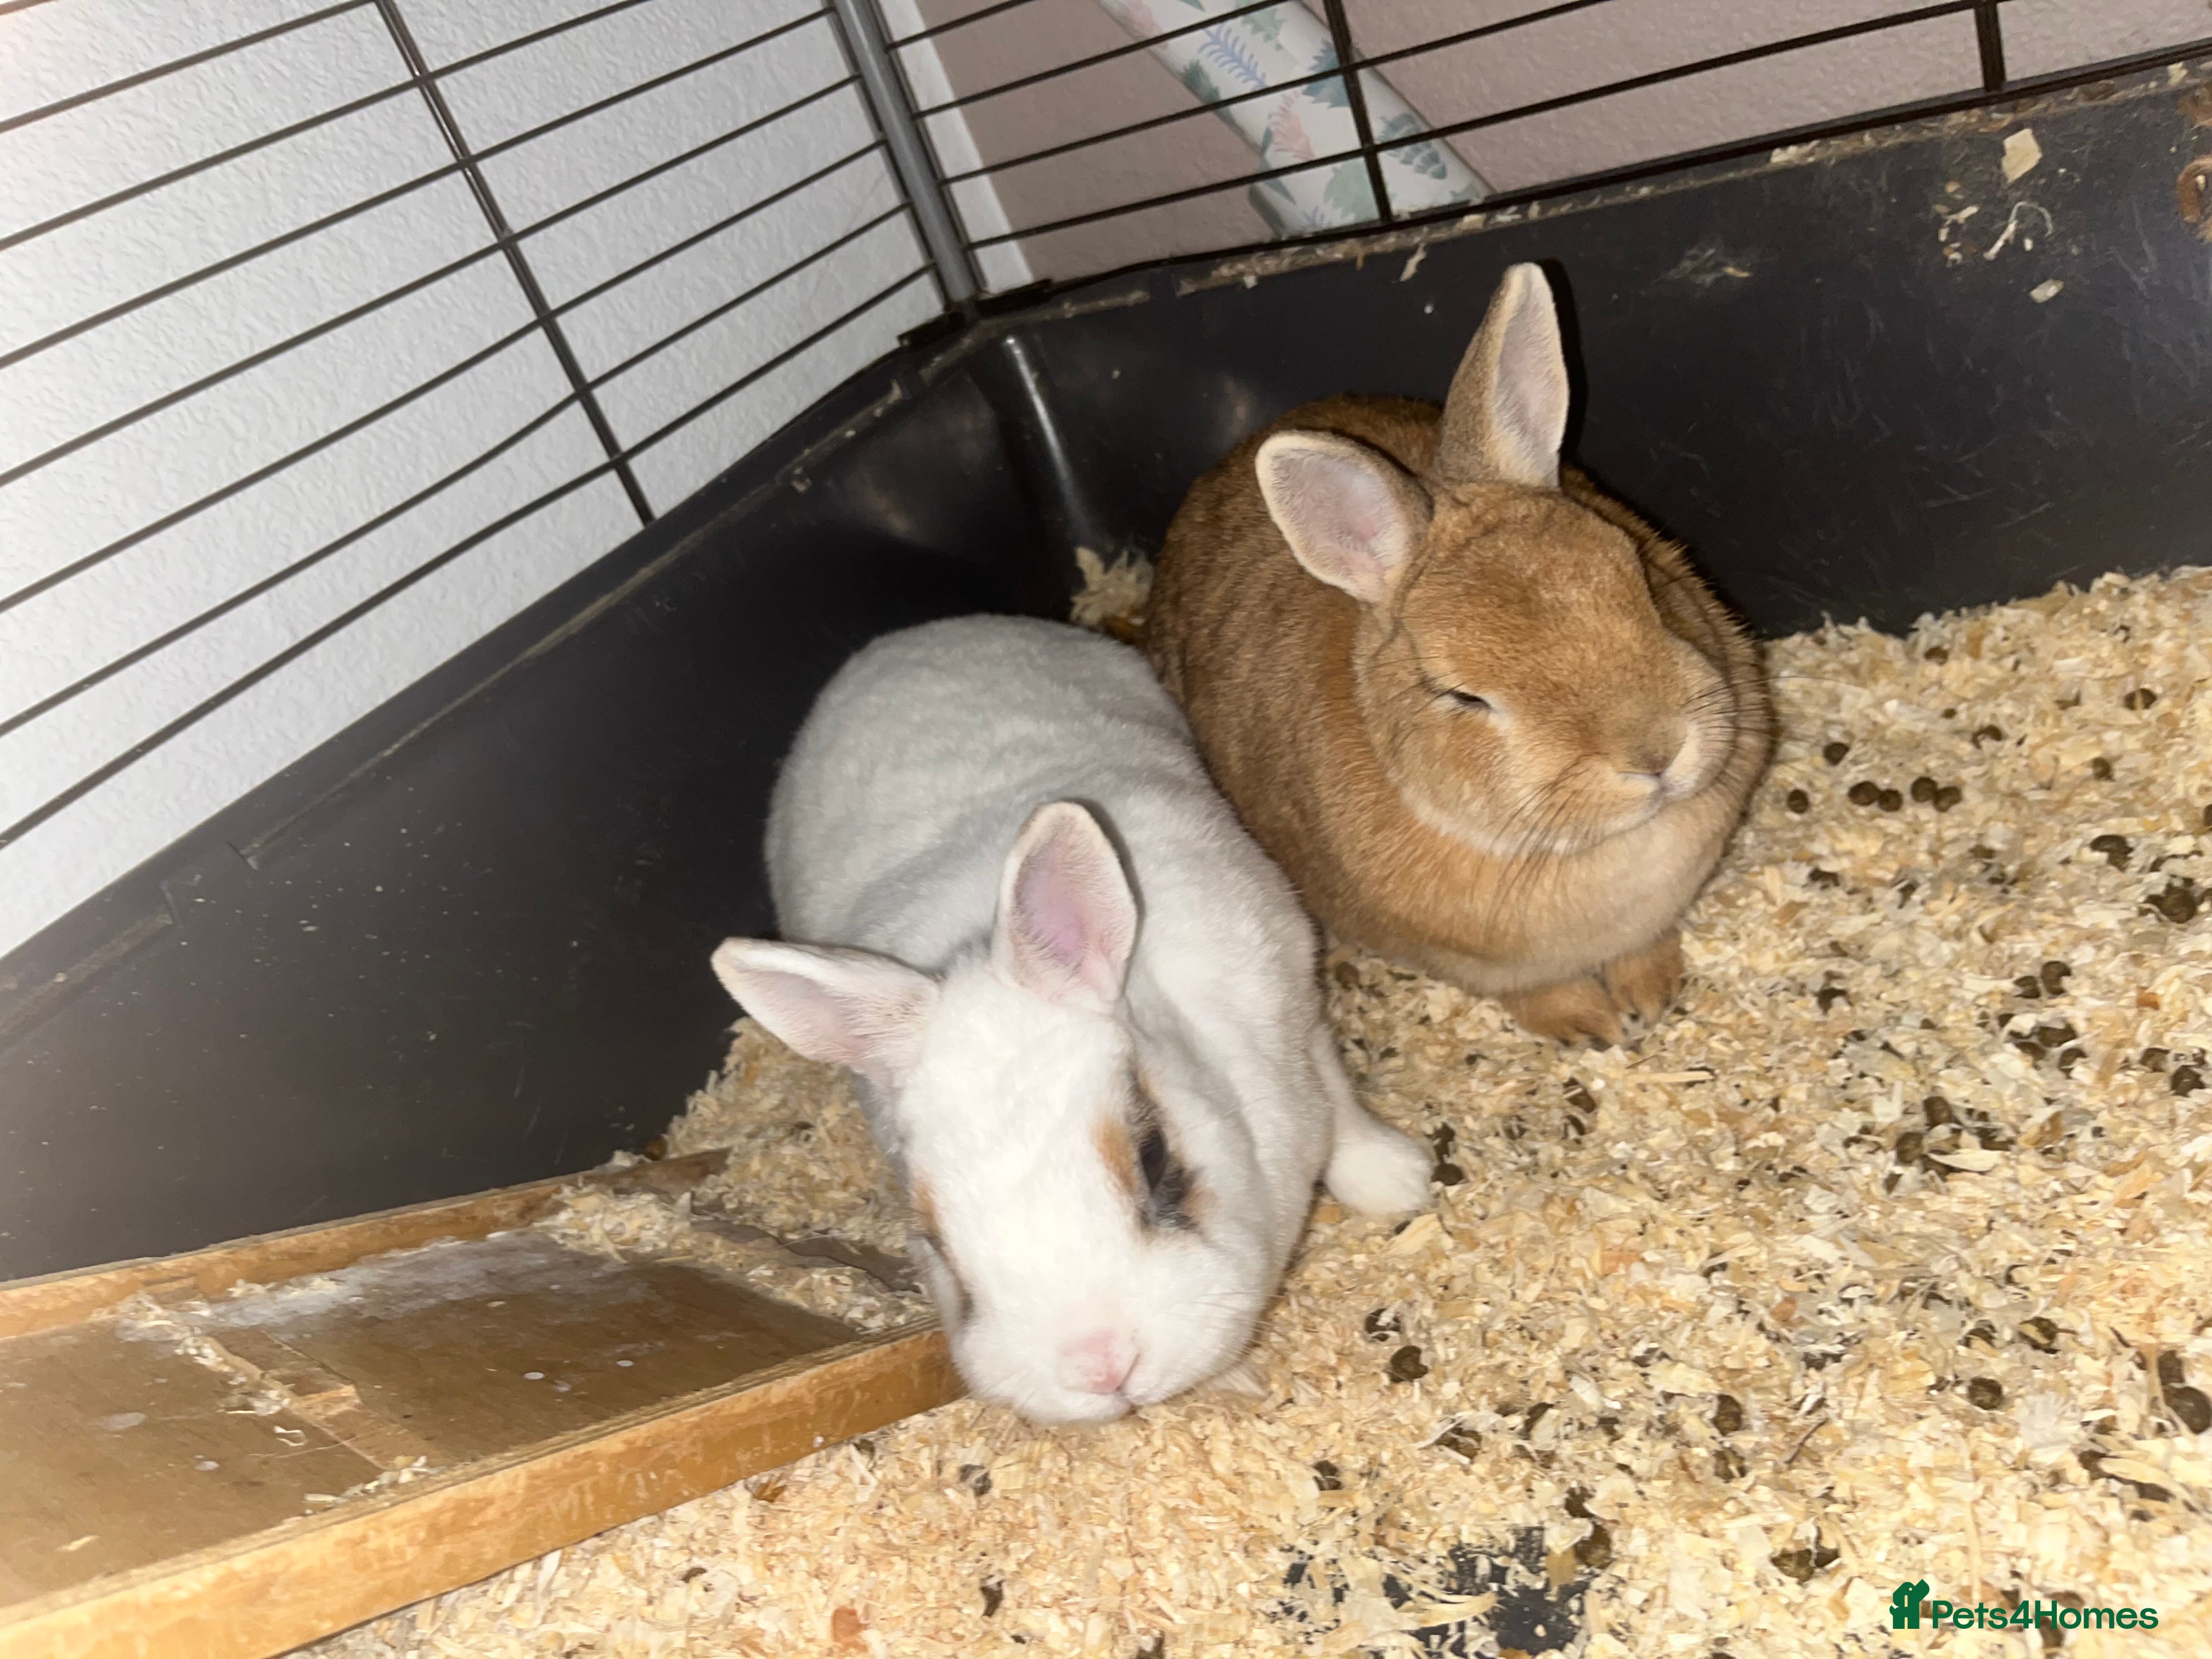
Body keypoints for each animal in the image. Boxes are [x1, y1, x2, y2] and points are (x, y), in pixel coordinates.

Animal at [709, 616, 1432, 1425]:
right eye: (934, 1239)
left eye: (1156, 1156)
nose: (1101, 1366)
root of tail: (925, 632)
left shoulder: (1293, 1000)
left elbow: (1338, 1100)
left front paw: (1398, 1183)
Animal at [1145, 263, 1772, 1045]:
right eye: (1462, 696)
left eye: (1641, 577)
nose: (1655, 753)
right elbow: (1535, 991)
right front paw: (1588, 1027)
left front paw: (1651, 995)